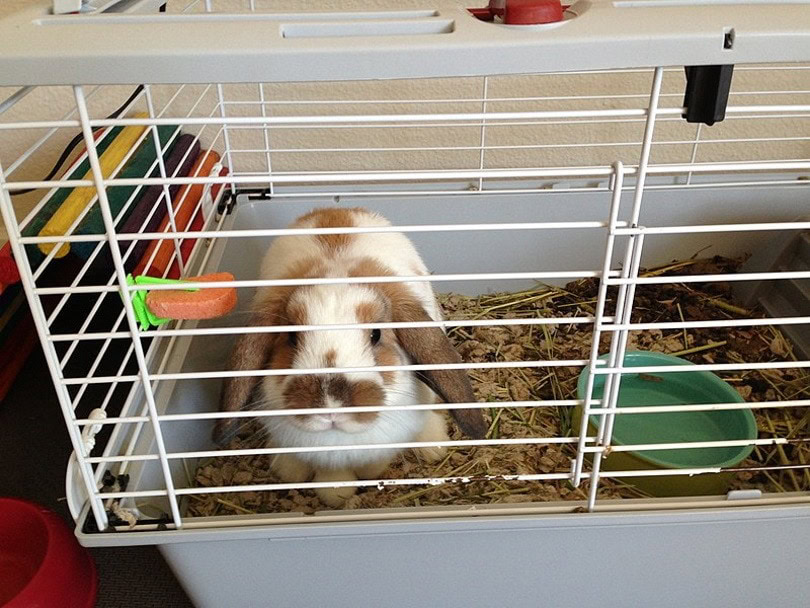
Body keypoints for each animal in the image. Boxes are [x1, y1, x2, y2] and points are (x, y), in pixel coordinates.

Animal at [213, 207, 486, 506]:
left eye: (376, 335)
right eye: (291, 337)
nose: (331, 404)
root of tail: (335, 210)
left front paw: (368, 475)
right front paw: (336, 494)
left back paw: (433, 446)